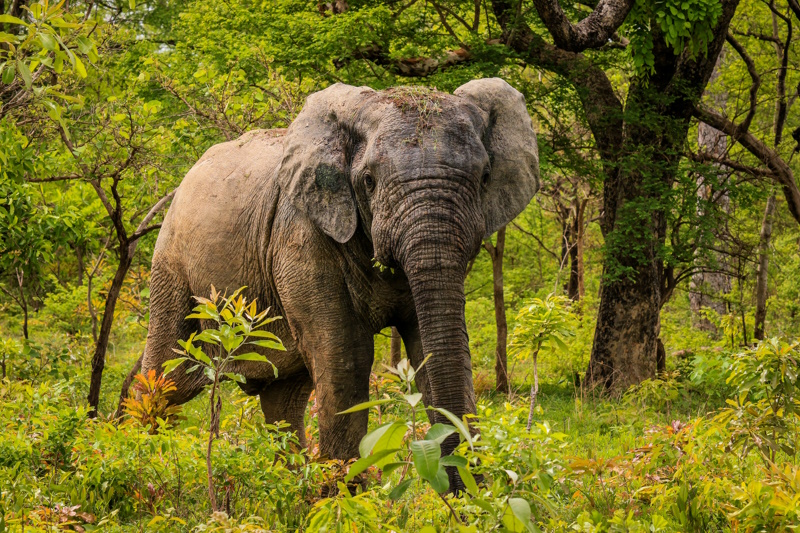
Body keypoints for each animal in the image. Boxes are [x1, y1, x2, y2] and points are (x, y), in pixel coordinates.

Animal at [143, 77, 540, 488]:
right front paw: (347, 496)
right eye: (368, 181)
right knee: (171, 378)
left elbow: (431, 349)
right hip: (172, 261)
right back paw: (138, 454)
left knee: (283, 399)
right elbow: (347, 355)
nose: (466, 484)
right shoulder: (302, 237)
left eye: (485, 178)